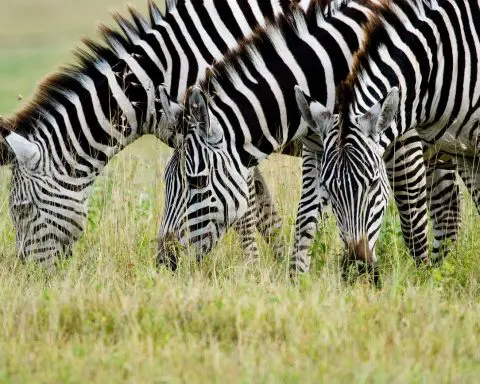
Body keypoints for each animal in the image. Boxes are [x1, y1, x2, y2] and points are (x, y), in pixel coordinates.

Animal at [0, 0, 310, 268]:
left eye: (22, 209)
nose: (30, 272)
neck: (154, 81)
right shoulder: (230, 143)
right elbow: (264, 212)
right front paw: (277, 264)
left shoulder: (229, 135)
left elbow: (246, 212)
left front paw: (252, 270)